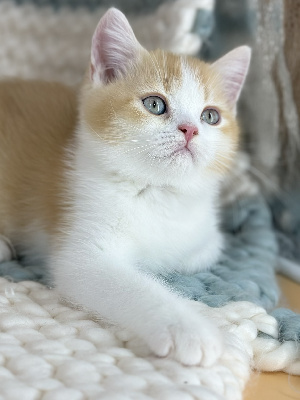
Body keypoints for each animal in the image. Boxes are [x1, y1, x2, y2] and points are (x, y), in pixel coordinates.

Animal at [0, 8, 250, 366]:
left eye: (211, 116)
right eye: (154, 104)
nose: (190, 130)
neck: (156, 193)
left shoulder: (204, 239)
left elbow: (195, 253)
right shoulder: (82, 253)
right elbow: (133, 284)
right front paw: (191, 328)